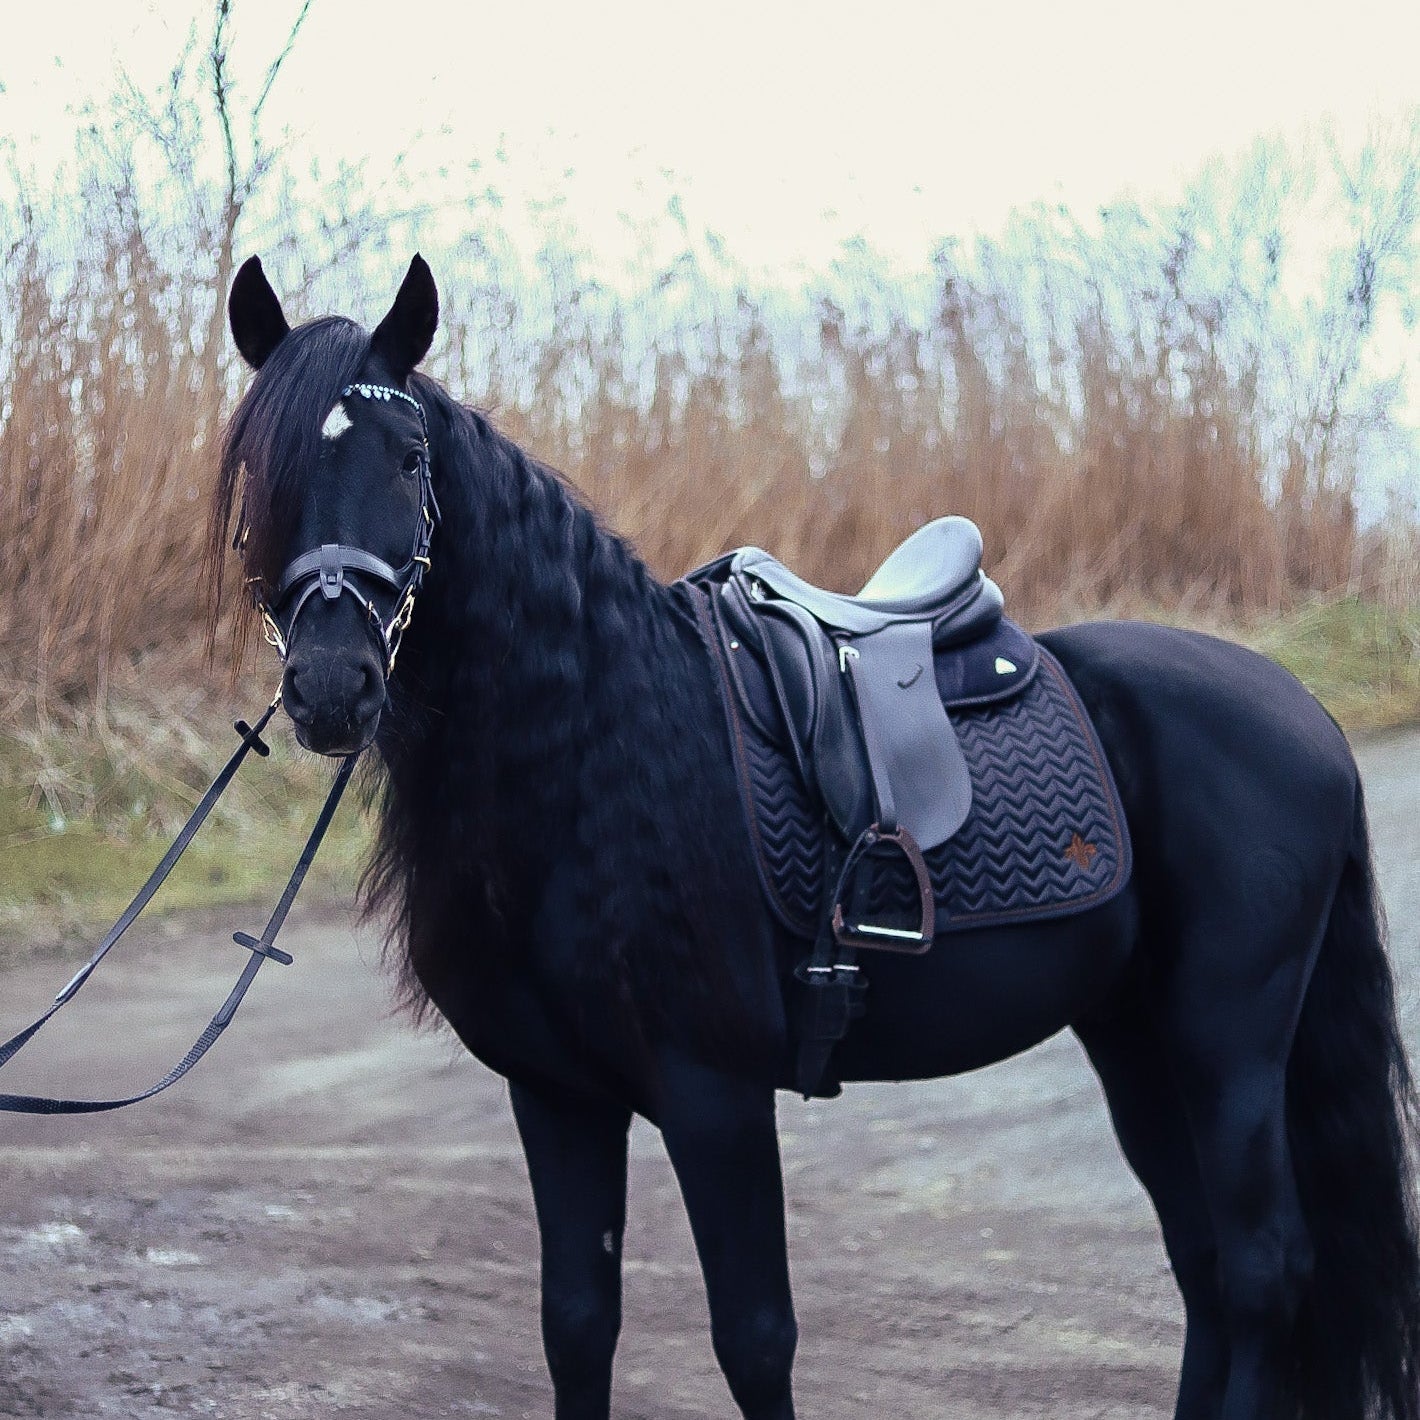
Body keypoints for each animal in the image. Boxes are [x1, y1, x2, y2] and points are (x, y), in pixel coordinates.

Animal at [213, 258, 1420, 1420]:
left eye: (410, 457)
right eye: (261, 466)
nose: (331, 685)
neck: (597, 745)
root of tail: (1303, 710)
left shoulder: (716, 1097)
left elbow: (755, 1342)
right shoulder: (558, 1097)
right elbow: (577, 1329)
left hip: (1229, 1039)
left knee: (1263, 1269)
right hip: (1133, 1033)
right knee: (1205, 1265)